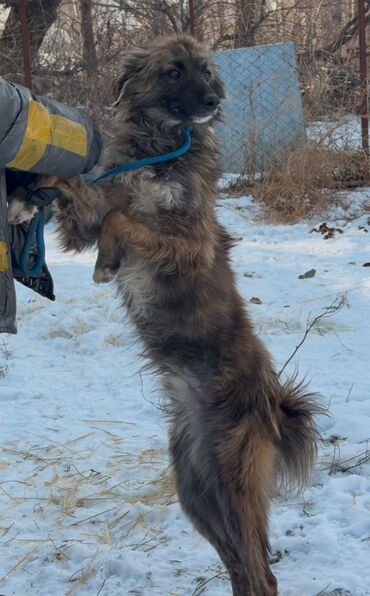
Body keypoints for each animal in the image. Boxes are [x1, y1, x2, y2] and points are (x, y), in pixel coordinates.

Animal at [49, 35, 320, 592]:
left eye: (207, 72)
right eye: (174, 71)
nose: (213, 101)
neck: (158, 148)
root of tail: (274, 406)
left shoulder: (189, 240)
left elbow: (122, 217)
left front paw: (107, 264)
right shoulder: (84, 223)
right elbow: (95, 203)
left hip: (234, 480)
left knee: (262, 575)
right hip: (196, 489)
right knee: (242, 568)